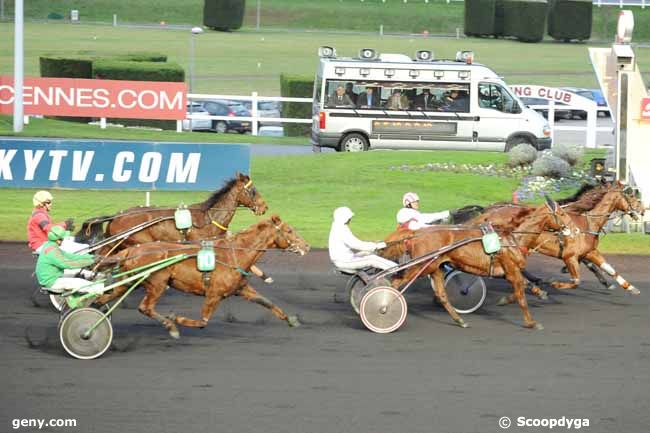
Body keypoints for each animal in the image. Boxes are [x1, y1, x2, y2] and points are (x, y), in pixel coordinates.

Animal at [95, 215, 308, 338]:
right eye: (289, 230)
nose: (306, 246)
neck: (235, 254)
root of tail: (132, 250)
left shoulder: (241, 289)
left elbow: (266, 301)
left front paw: (291, 319)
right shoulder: (214, 294)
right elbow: (203, 322)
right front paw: (176, 318)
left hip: (129, 282)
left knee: (103, 299)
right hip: (157, 283)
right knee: (145, 307)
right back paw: (171, 326)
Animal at [380, 197, 572, 330]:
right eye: (561, 214)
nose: (571, 229)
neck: (513, 238)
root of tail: (415, 234)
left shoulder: (508, 272)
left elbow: (523, 287)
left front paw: (534, 294)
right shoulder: (512, 271)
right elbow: (521, 297)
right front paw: (532, 322)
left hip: (435, 267)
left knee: (442, 295)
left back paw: (460, 320)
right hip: (420, 266)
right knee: (396, 283)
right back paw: (383, 307)